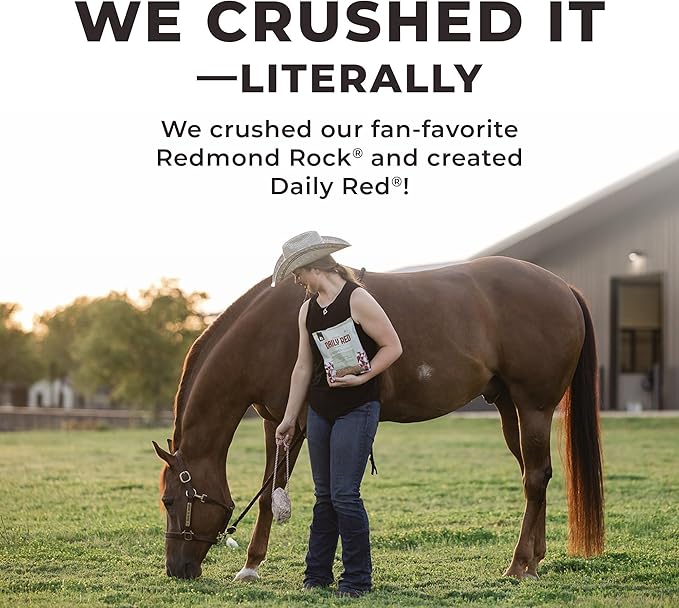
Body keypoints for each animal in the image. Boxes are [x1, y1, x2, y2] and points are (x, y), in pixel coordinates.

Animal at [152, 255, 604, 581]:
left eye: (169, 500)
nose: (176, 570)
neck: (267, 332)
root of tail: (563, 287)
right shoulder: (274, 422)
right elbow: (272, 493)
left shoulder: (296, 426)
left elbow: (271, 494)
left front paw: (251, 566)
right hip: (510, 408)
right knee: (537, 476)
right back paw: (535, 561)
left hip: (534, 407)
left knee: (534, 479)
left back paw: (518, 565)